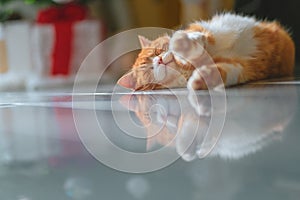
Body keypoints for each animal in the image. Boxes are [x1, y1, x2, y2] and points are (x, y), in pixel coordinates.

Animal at [118, 13, 296, 90]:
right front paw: (202, 79)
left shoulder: (205, 28)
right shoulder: (240, 67)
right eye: (148, 70)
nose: (159, 60)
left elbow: (200, 35)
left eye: (156, 52)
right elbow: (224, 72)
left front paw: (182, 45)